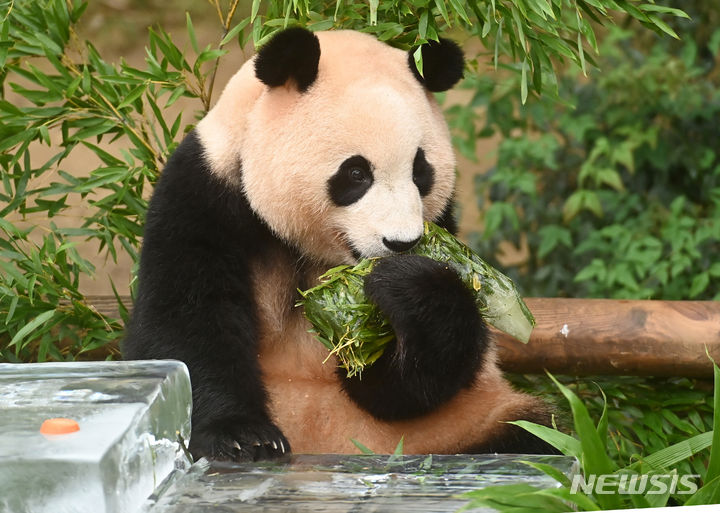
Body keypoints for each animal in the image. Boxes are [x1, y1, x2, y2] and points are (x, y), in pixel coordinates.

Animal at [124, 27, 552, 460]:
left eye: (421, 171)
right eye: (356, 173)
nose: (402, 242)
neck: (315, 255)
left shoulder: (442, 222)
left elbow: (408, 385)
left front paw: (406, 285)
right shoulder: (203, 196)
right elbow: (183, 321)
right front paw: (244, 437)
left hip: (468, 425)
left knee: (531, 437)